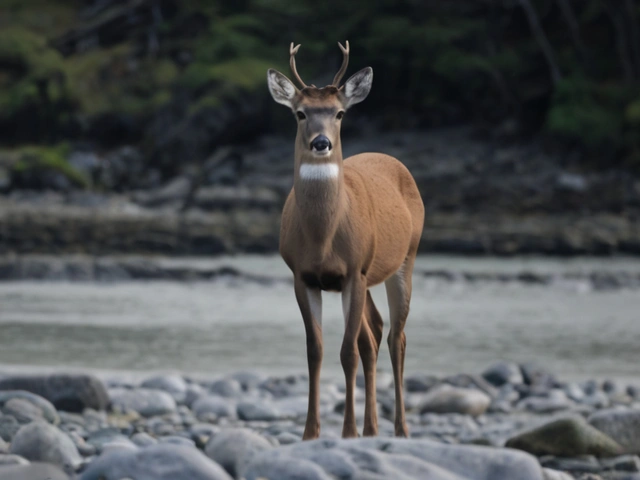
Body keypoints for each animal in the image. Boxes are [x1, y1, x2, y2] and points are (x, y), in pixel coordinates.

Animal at [266, 41, 424, 438]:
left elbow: (347, 351)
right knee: (375, 332)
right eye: (300, 113)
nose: (321, 143)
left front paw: (348, 432)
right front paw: (311, 432)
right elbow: (316, 350)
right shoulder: (304, 276)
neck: (323, 239)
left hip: (405, 259)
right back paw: (373, 428)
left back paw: (400, 429)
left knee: (396, 337)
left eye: (339, 113)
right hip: (369, 277)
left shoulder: (353, 270)